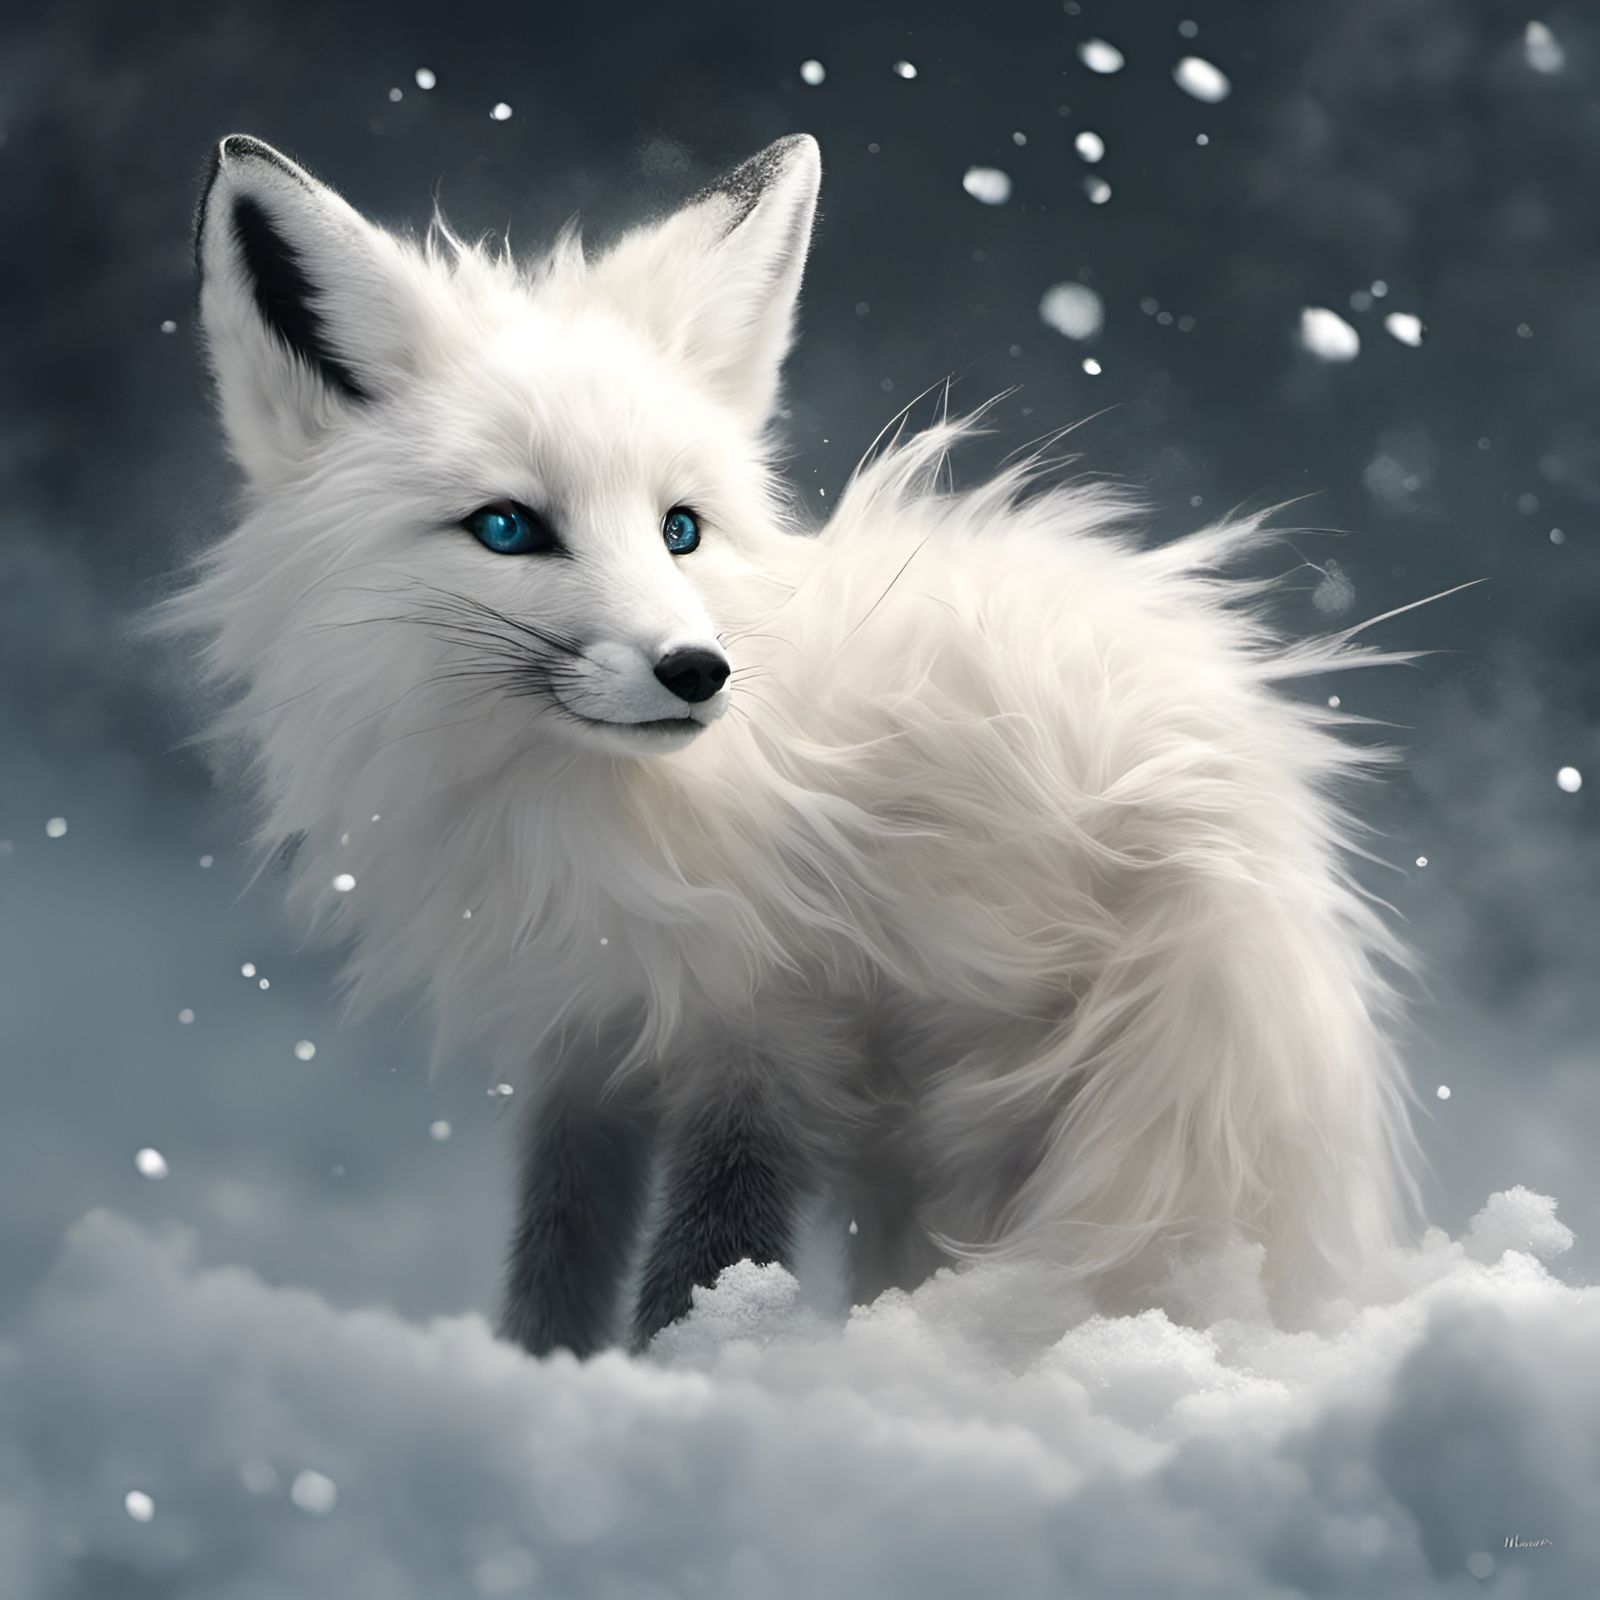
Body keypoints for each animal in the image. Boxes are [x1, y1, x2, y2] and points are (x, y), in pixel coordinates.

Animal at [160, 130, 1423, 1355]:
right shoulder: (593, 1032)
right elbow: (557, 1248)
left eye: (679, 529)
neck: (588, 811)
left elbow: (712, 1253)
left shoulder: (772, 1034)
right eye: (508, 528)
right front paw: (543, 1374)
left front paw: (693, 1376)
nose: (696, 670)